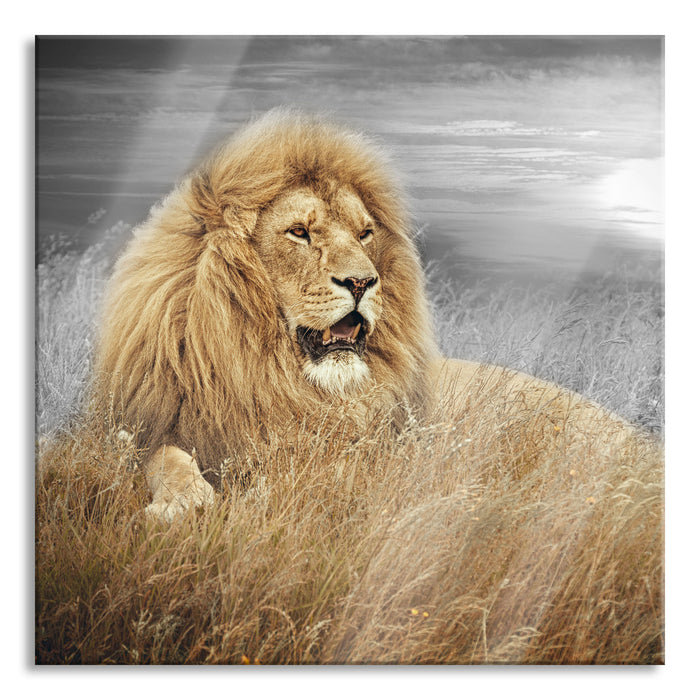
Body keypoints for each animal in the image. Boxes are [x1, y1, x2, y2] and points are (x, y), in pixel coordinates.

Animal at [94, 109, 649, 521]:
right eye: (299, 232)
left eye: (364, 234)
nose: (362, 283)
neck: (273, 377)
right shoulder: (145, 426)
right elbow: (161, 456)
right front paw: (183, 501)